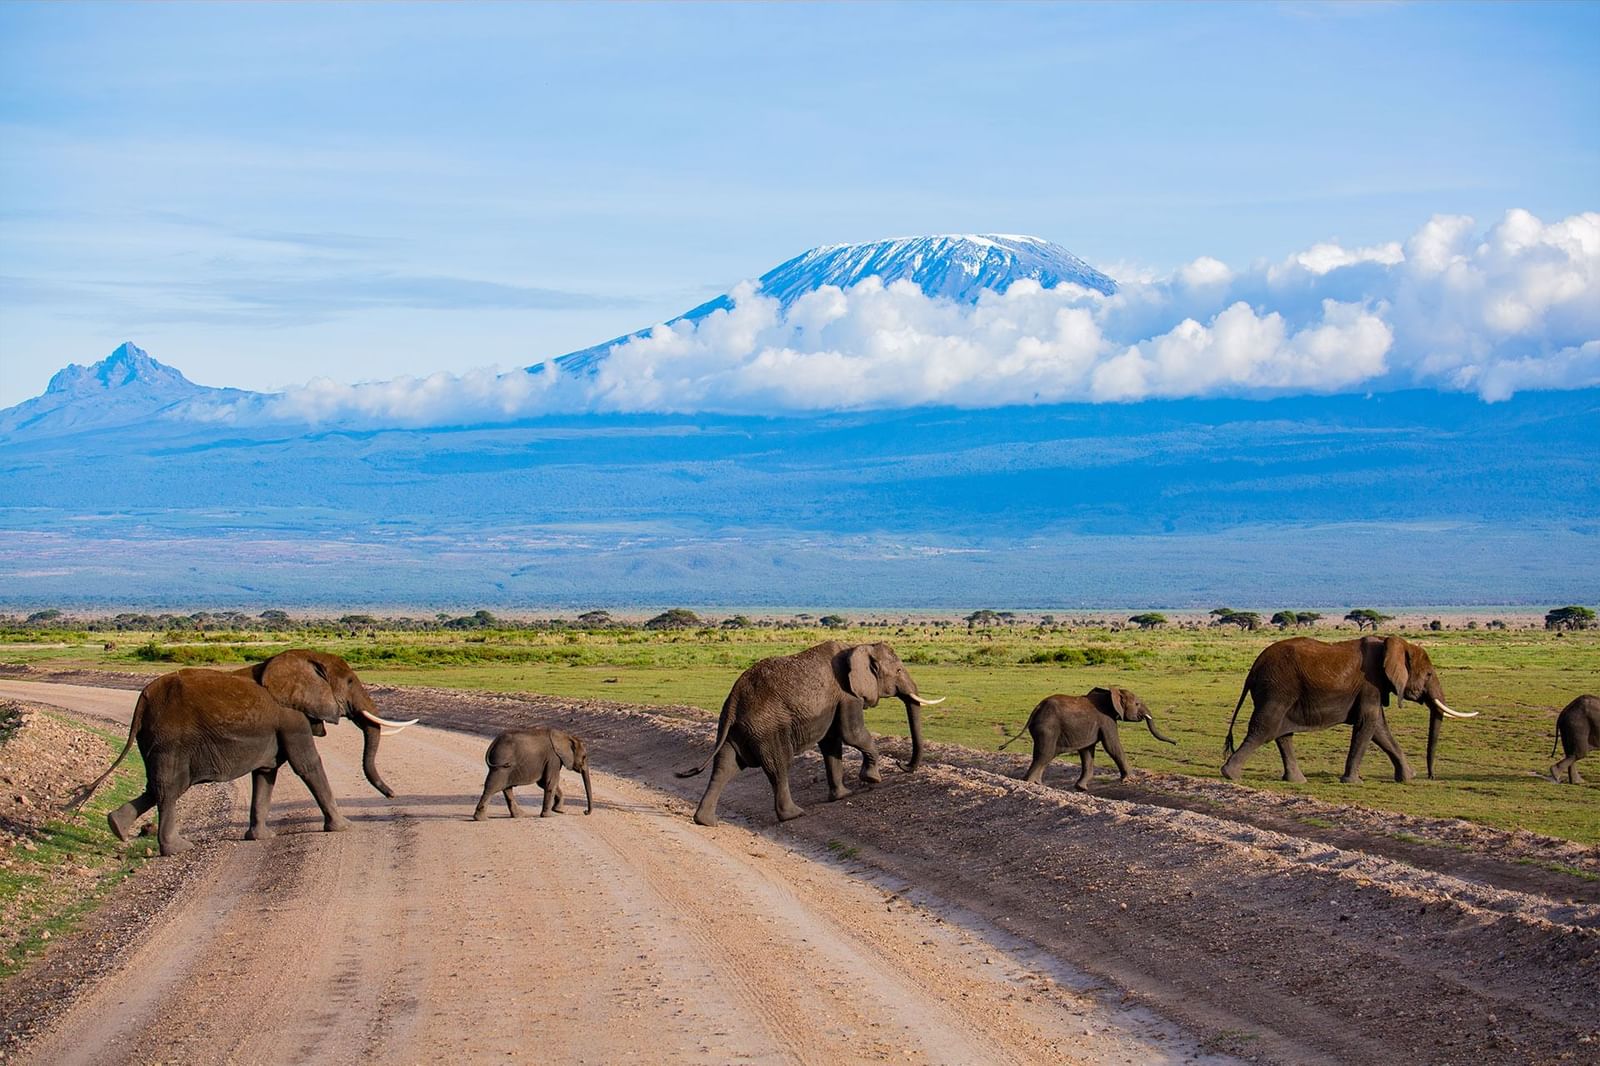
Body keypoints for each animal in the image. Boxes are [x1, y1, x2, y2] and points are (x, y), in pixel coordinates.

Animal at [672, 640, 934, 819]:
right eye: (898, 671)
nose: (902, 765)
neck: (857, 646)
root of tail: (734, 701)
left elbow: (831, 744)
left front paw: (843, 795)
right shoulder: (847, 695)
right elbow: (852, 734)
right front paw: (872, 779)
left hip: (739, 729)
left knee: (725, 767)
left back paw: (705, 821)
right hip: (766, 728)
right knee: (779, 767)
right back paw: (794, 814)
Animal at [998, 685, 1177, 784]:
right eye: (1137, 703)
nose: (1176, 743)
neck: (1111, 693)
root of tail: (1036, 709)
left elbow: (1087, 751)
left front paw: (1081, 788)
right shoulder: (1107, 720)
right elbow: (1112, 746)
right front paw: (1131, 780)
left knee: (1045, 757)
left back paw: (1037, 784)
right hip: (1048, 729)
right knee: (1044, 755)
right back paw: (1030, 783)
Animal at [1222, 630, 1472, 781]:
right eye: (1428, 674)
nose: (1431, 776)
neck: (1391, 642)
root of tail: (1253, 669)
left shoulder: (1373, 688)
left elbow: (1379, 729)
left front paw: (1408, 777)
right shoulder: (1371, 683)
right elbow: (1368, 724)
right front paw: (1352, 781)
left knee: (1282, 733)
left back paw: (1297, 780)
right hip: (1277, 689)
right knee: (1265, 728)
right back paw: (1230, 775)